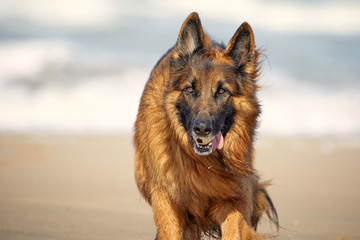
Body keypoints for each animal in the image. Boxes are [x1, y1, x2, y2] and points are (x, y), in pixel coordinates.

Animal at [134, 11, 278, 240]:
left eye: (222, 91)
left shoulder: (235, 198)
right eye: (190, 89)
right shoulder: (166, 201)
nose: (202, 130)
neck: (201, 163)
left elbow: (234, 231)